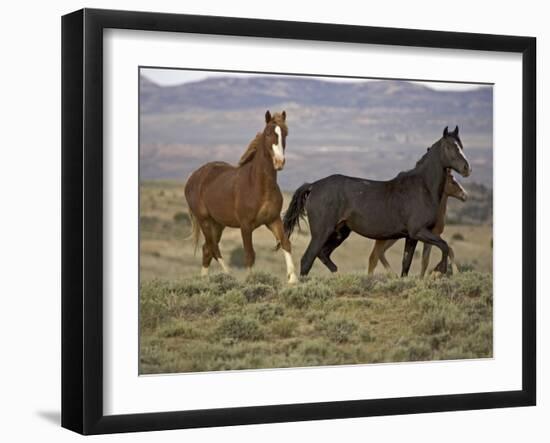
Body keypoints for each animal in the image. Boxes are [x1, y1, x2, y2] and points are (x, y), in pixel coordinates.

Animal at [184, 111, 298, 284]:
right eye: (268, 133)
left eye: (285, 133)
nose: (279, 162)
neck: (258, 185)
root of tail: (192, 178)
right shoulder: (245, 226)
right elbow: (249, 255)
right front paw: (251, 281)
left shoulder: (273, 220)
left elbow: (285, 243)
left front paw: (293, 280)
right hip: (205, 221)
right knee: (213, 248)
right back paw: (228, 275)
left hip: (218, 224)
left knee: (207, 249)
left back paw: (204, 280)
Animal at [286, 126, 472, 276]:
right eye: (449, 146)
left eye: (461, 146)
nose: (467, 169)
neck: (422, 187)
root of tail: (313, 186)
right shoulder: (419, 231)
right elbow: (445, 245)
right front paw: (439, 270)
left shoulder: (411, 237)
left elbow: (406, 264)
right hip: (322, 232)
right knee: (307, 260)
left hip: (340, 232)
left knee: (323, 255)